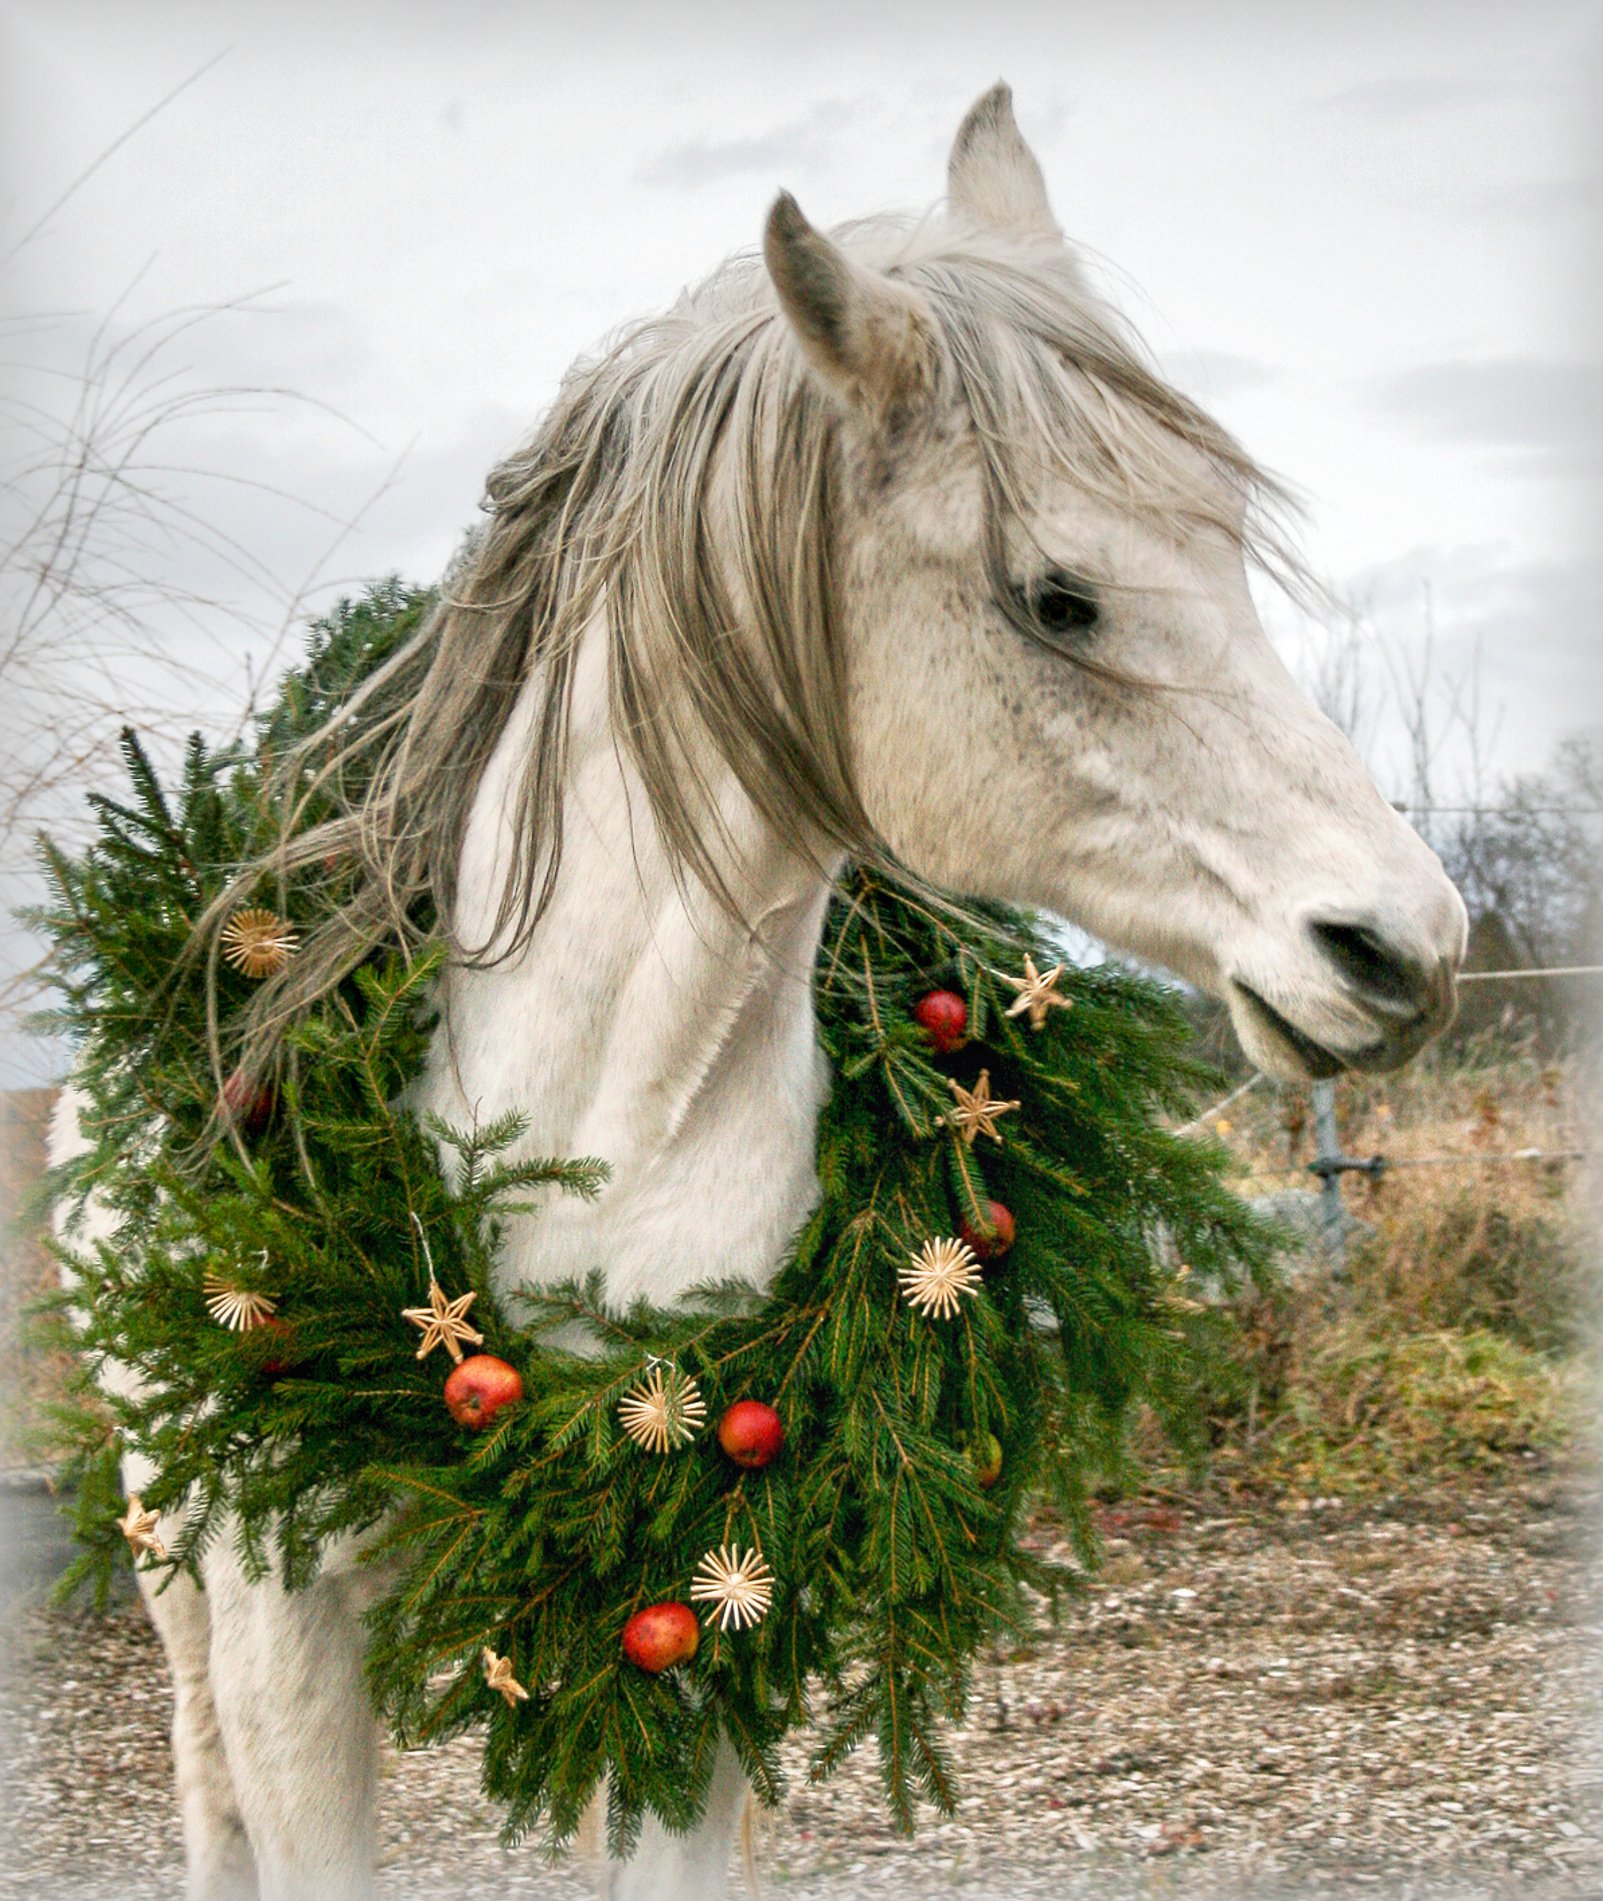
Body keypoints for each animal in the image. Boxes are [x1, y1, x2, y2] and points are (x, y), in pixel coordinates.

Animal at [59, 85, 1467, 1901]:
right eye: (1056, 596)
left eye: (1225, 547)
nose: (1403, 947)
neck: (573, 1134)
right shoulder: (285, 1640)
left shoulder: (690, 1614)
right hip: (177, 1555)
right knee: (201, 1779)